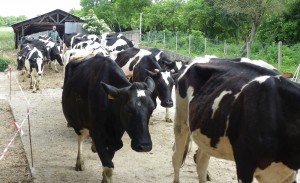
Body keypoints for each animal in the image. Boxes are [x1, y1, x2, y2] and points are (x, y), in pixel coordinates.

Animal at [60, 53, 155, 182]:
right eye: (128, 110)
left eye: (152, 108)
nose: (145, 146)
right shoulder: (97, 134)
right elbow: (108, 167)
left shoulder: (116, 136)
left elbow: (111, 156)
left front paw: (103, 177)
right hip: (77, 122)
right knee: (80, 137)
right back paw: (80, 162)